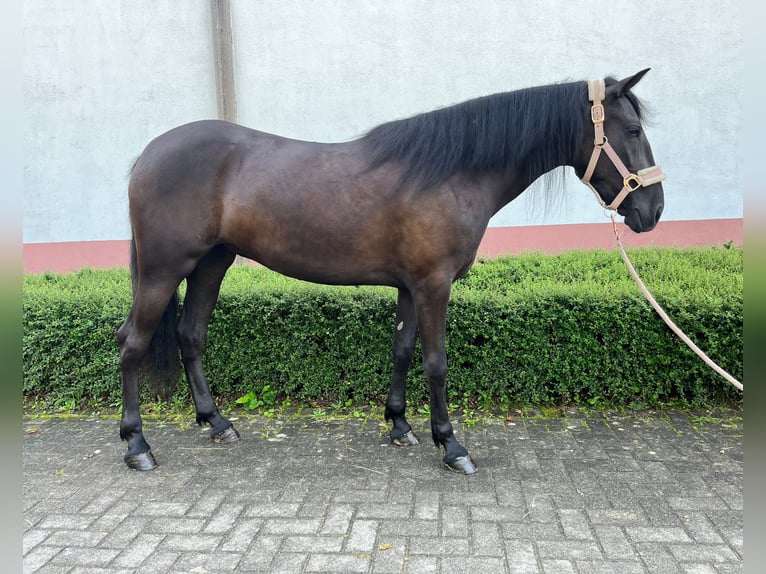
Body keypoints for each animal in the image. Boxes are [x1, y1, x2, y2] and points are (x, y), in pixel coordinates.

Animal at [116, 69, 665, 474]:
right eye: (633, 131)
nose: (652, 210)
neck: (452, 172)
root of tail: (148, 155)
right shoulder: (434, 286)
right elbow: (436, 362)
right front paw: (452, 446)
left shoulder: (409, 286)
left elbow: (401, 350)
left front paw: (400, 426)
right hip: (164, 270)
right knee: (132, 344)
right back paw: (138, 445)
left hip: (211, 264)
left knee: (190, 336)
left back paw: (216, 422)